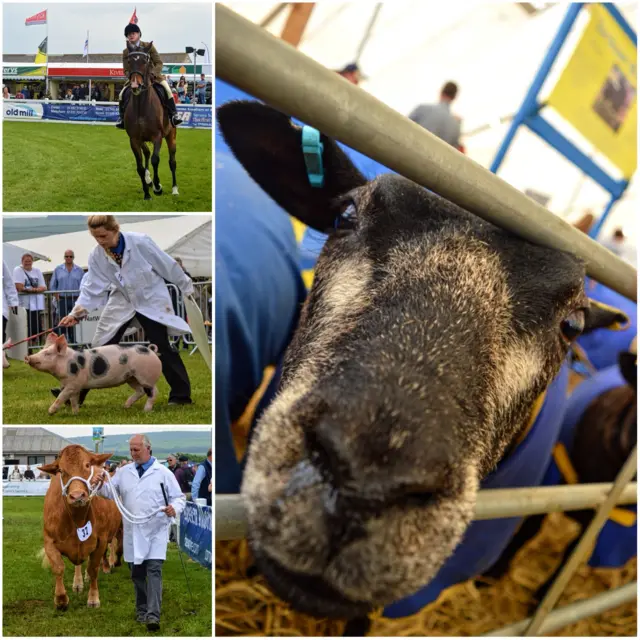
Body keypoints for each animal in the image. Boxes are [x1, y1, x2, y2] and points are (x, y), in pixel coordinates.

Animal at [26, 332, 162, 418]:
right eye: (41, 350)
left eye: (47, 354)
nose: (28, 357)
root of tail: (151, 351)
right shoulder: (75, 386)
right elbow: (74, 400)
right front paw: (74, 414)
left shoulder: (72, 384)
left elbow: (62, 396)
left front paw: (50, 412)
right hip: (131, 377)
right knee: (140, 391)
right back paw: (125, 406)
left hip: (146, 377)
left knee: (153, 391)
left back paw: (146, 410)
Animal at [39, 444, 122, 608]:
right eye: (61, 470)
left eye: (88, 465)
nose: (77, 496)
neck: (77, 518)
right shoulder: (49, 540)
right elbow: (58, 567)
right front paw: (61, 598)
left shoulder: (101, 540)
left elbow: (93, 568)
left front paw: (93, 598)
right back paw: (78, 583)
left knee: (113, 547)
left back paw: (109, 565)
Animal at [124, 40, 178, 200]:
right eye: (129, 61)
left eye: (145, 61)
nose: (135, 85)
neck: (141, 107)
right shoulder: (134, 139)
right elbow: (140, 167)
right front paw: (147, 193)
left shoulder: (157, 136)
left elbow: (155, 160)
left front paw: (157, 187)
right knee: (147, 153)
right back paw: (148, 181)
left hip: (171, 135)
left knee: (172, 161)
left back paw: (174, 189)